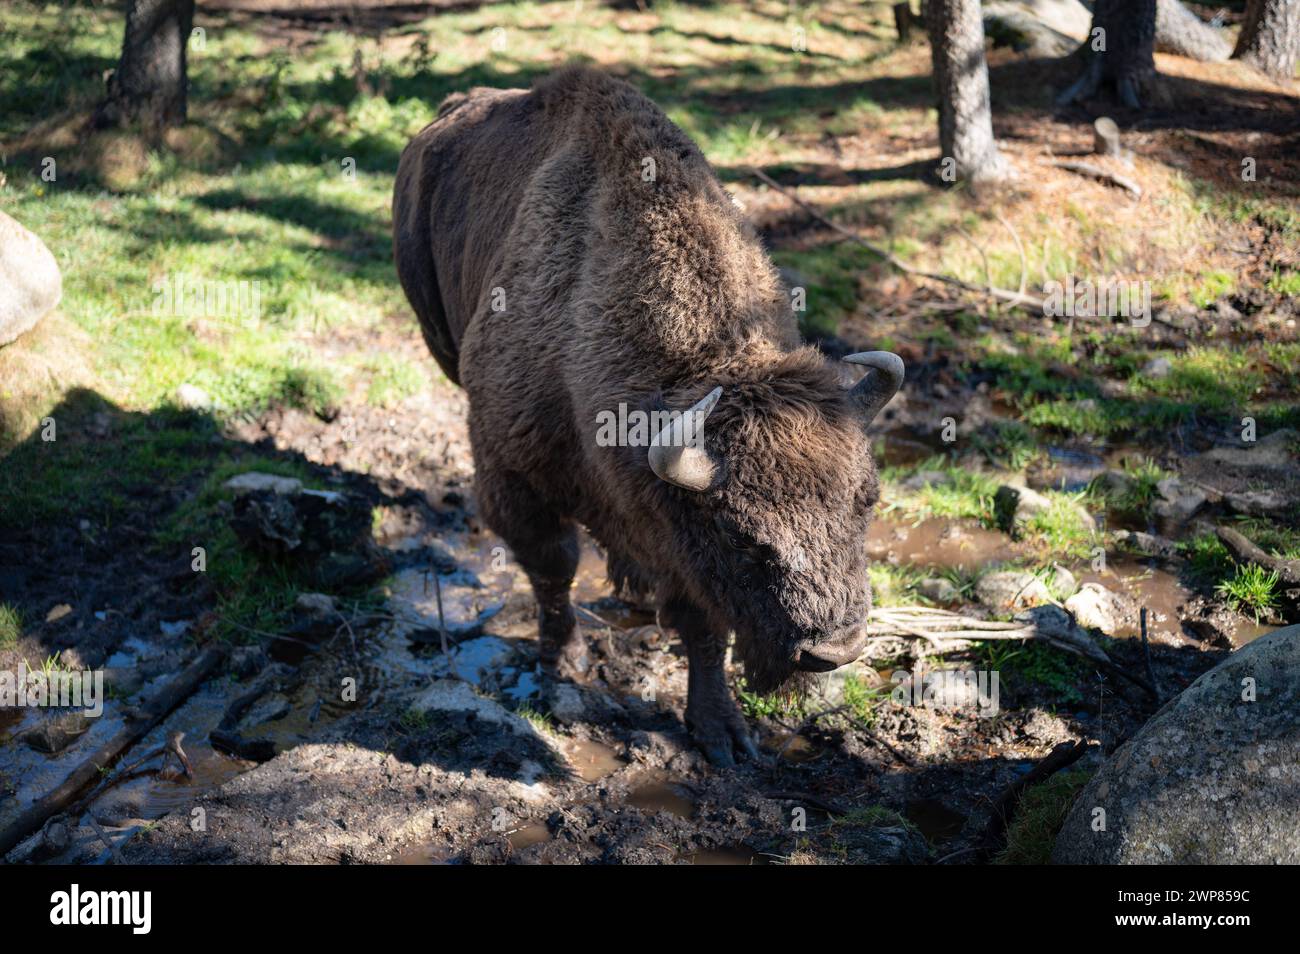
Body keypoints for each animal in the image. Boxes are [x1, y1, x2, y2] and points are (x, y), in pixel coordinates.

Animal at [392, 67, 904, 764]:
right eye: (743, 538)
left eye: (867, 502)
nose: (834, 651)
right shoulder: (513, 474)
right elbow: (553, 568)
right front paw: (564, 664)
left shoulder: (677, 537)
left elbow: (702, 623)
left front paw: (723, 732)